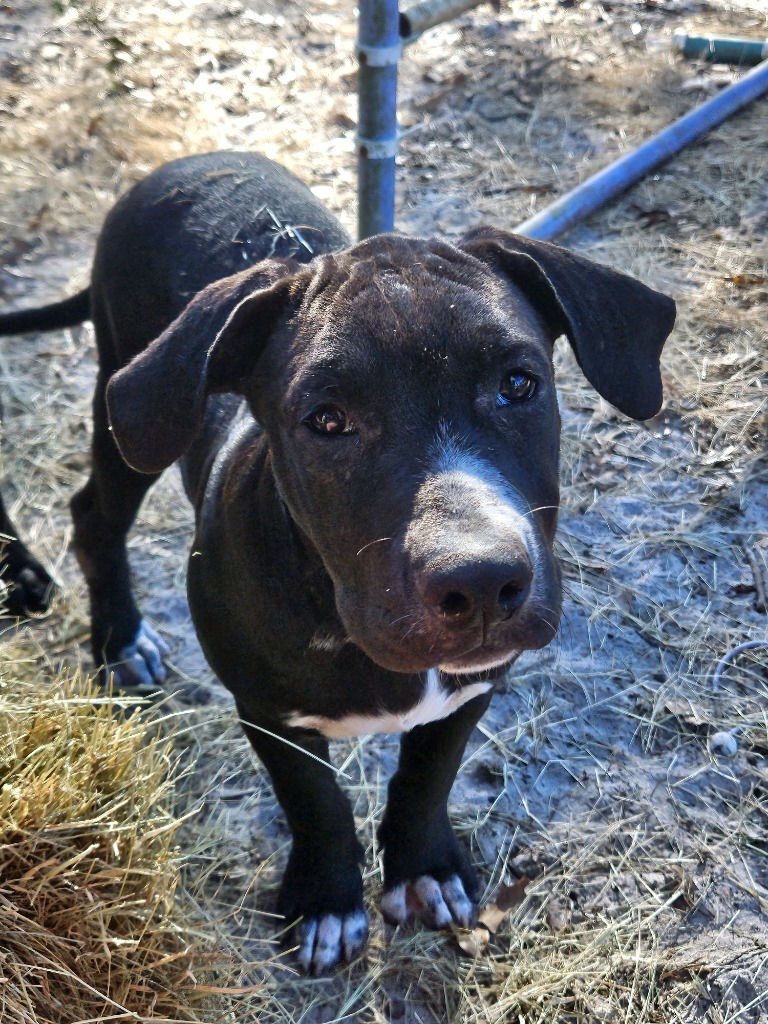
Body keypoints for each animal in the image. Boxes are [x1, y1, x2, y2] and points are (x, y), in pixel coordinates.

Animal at [0, 151, 671, 966]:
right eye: (326, 420)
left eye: (519, 384)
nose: (482, 583)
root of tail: (182, 164)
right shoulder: (266, 708)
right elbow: (314, 799)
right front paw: (326, 900)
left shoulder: (473, 686)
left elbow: (428, 776)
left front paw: (425, 868)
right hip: (127, 407)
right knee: (94, 515)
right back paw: (118, 637)